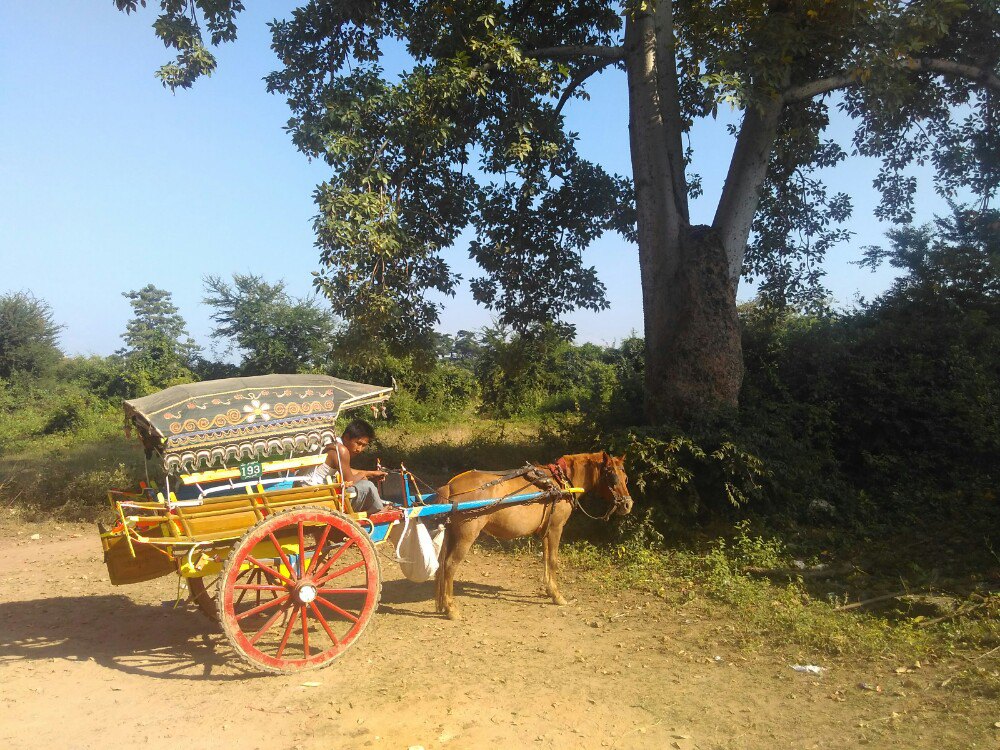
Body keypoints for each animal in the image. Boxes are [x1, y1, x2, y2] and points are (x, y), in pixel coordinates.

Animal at [432, 452, 632, 624]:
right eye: (612, 477)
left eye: (626, 477)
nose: (628, 504)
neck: (560, 482)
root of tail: (450, 486)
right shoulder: (555, 528)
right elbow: (553, 560)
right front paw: (558, 596)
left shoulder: (546, 530)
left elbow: (546, 559)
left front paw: (549, 590)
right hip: (466, 536)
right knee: (450, 565)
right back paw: (451, 609)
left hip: (453, 534)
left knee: (443, 565)